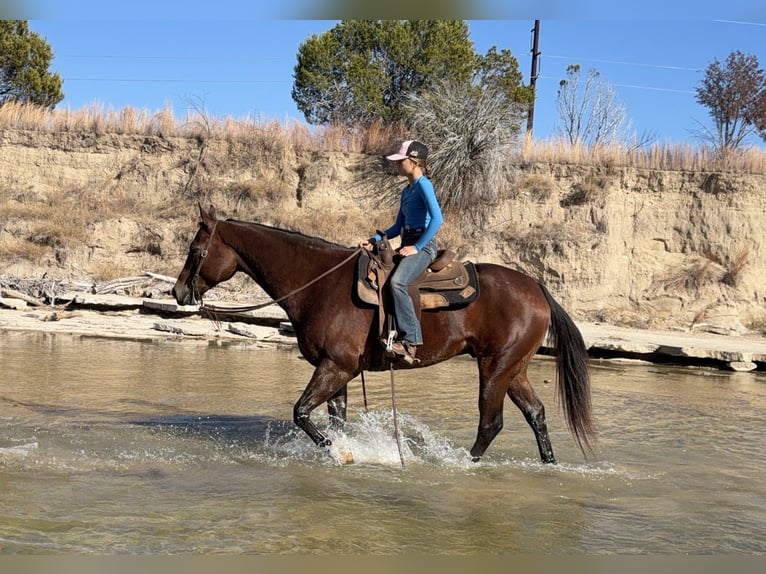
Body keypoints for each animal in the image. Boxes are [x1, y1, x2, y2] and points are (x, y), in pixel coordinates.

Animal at [172, 204, 595, 463]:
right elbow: (334, 419)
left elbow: (301, 412)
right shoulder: (337, 370)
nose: (177, 292)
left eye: (195, 251)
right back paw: (549, 463)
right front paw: (341, 448)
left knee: (491, 424)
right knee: (536, 414)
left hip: (494, 368)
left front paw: (340, 453)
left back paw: (462, 463)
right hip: (514, 369)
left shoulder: (336, 367)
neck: (318, 283)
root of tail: (537, 288)